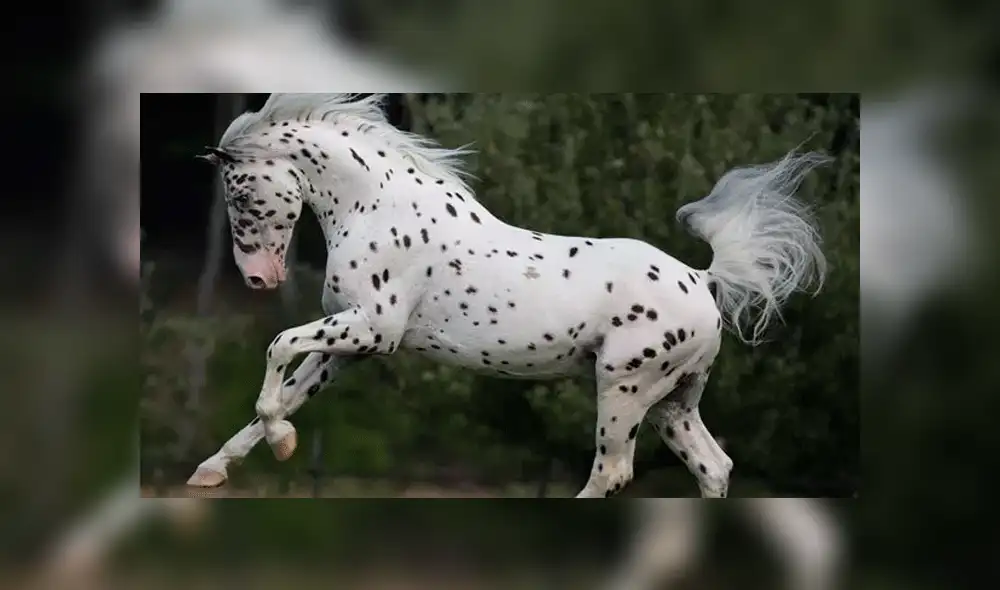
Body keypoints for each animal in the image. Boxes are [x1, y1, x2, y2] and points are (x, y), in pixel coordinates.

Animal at [186, 93, 828, 498]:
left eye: (239, 193)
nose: (258, 279)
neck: (378, 208)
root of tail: (702, 279)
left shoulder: (373, 329)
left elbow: (276, 347)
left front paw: (280, 444)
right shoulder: (348, 345)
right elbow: (284, 396)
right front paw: (216, 470)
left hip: (624, 388)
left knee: (612, 474)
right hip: (673, 403)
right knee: (713, 468)